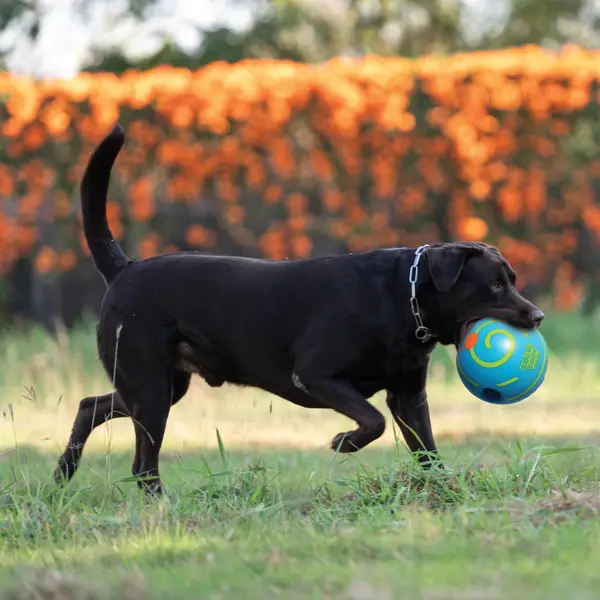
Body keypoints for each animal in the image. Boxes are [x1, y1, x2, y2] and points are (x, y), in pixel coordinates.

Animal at [55, 124, 544, 494]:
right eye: (494, 285)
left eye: (514, 280)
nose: (536, 316)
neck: (403, 300)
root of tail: (125, 267)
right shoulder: (316, 374)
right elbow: (373, 420)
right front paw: (345, 442)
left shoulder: (408, 394)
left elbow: (426, 447)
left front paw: (446, 489)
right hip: (151, 387)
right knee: (142, 463)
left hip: (159, 384)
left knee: (90, 406)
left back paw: (63, 475)